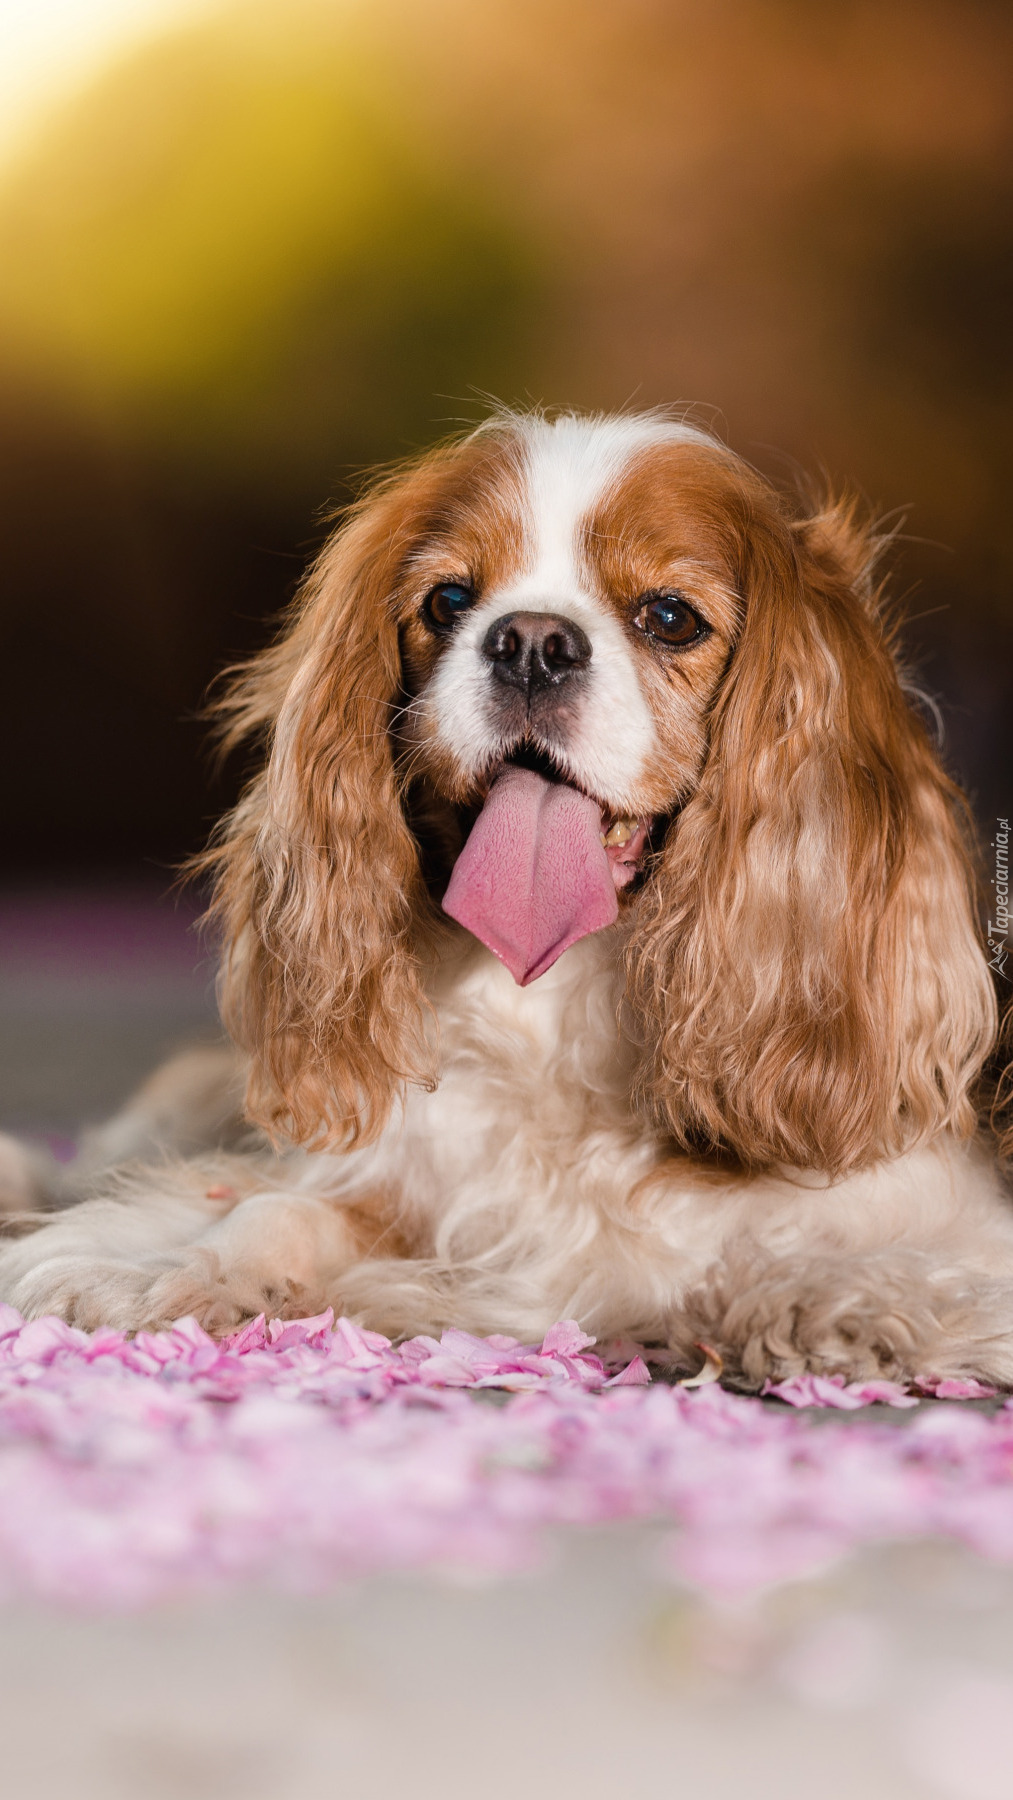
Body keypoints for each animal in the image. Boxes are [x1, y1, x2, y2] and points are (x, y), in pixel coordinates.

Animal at [1, 412, 1013, 1389]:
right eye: (447, 602)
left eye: (669, 617)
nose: (530, 642)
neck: (558, 1002)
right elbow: (275, 1206)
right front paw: (165, 1266)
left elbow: (864, 1260)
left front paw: (831, 1301)